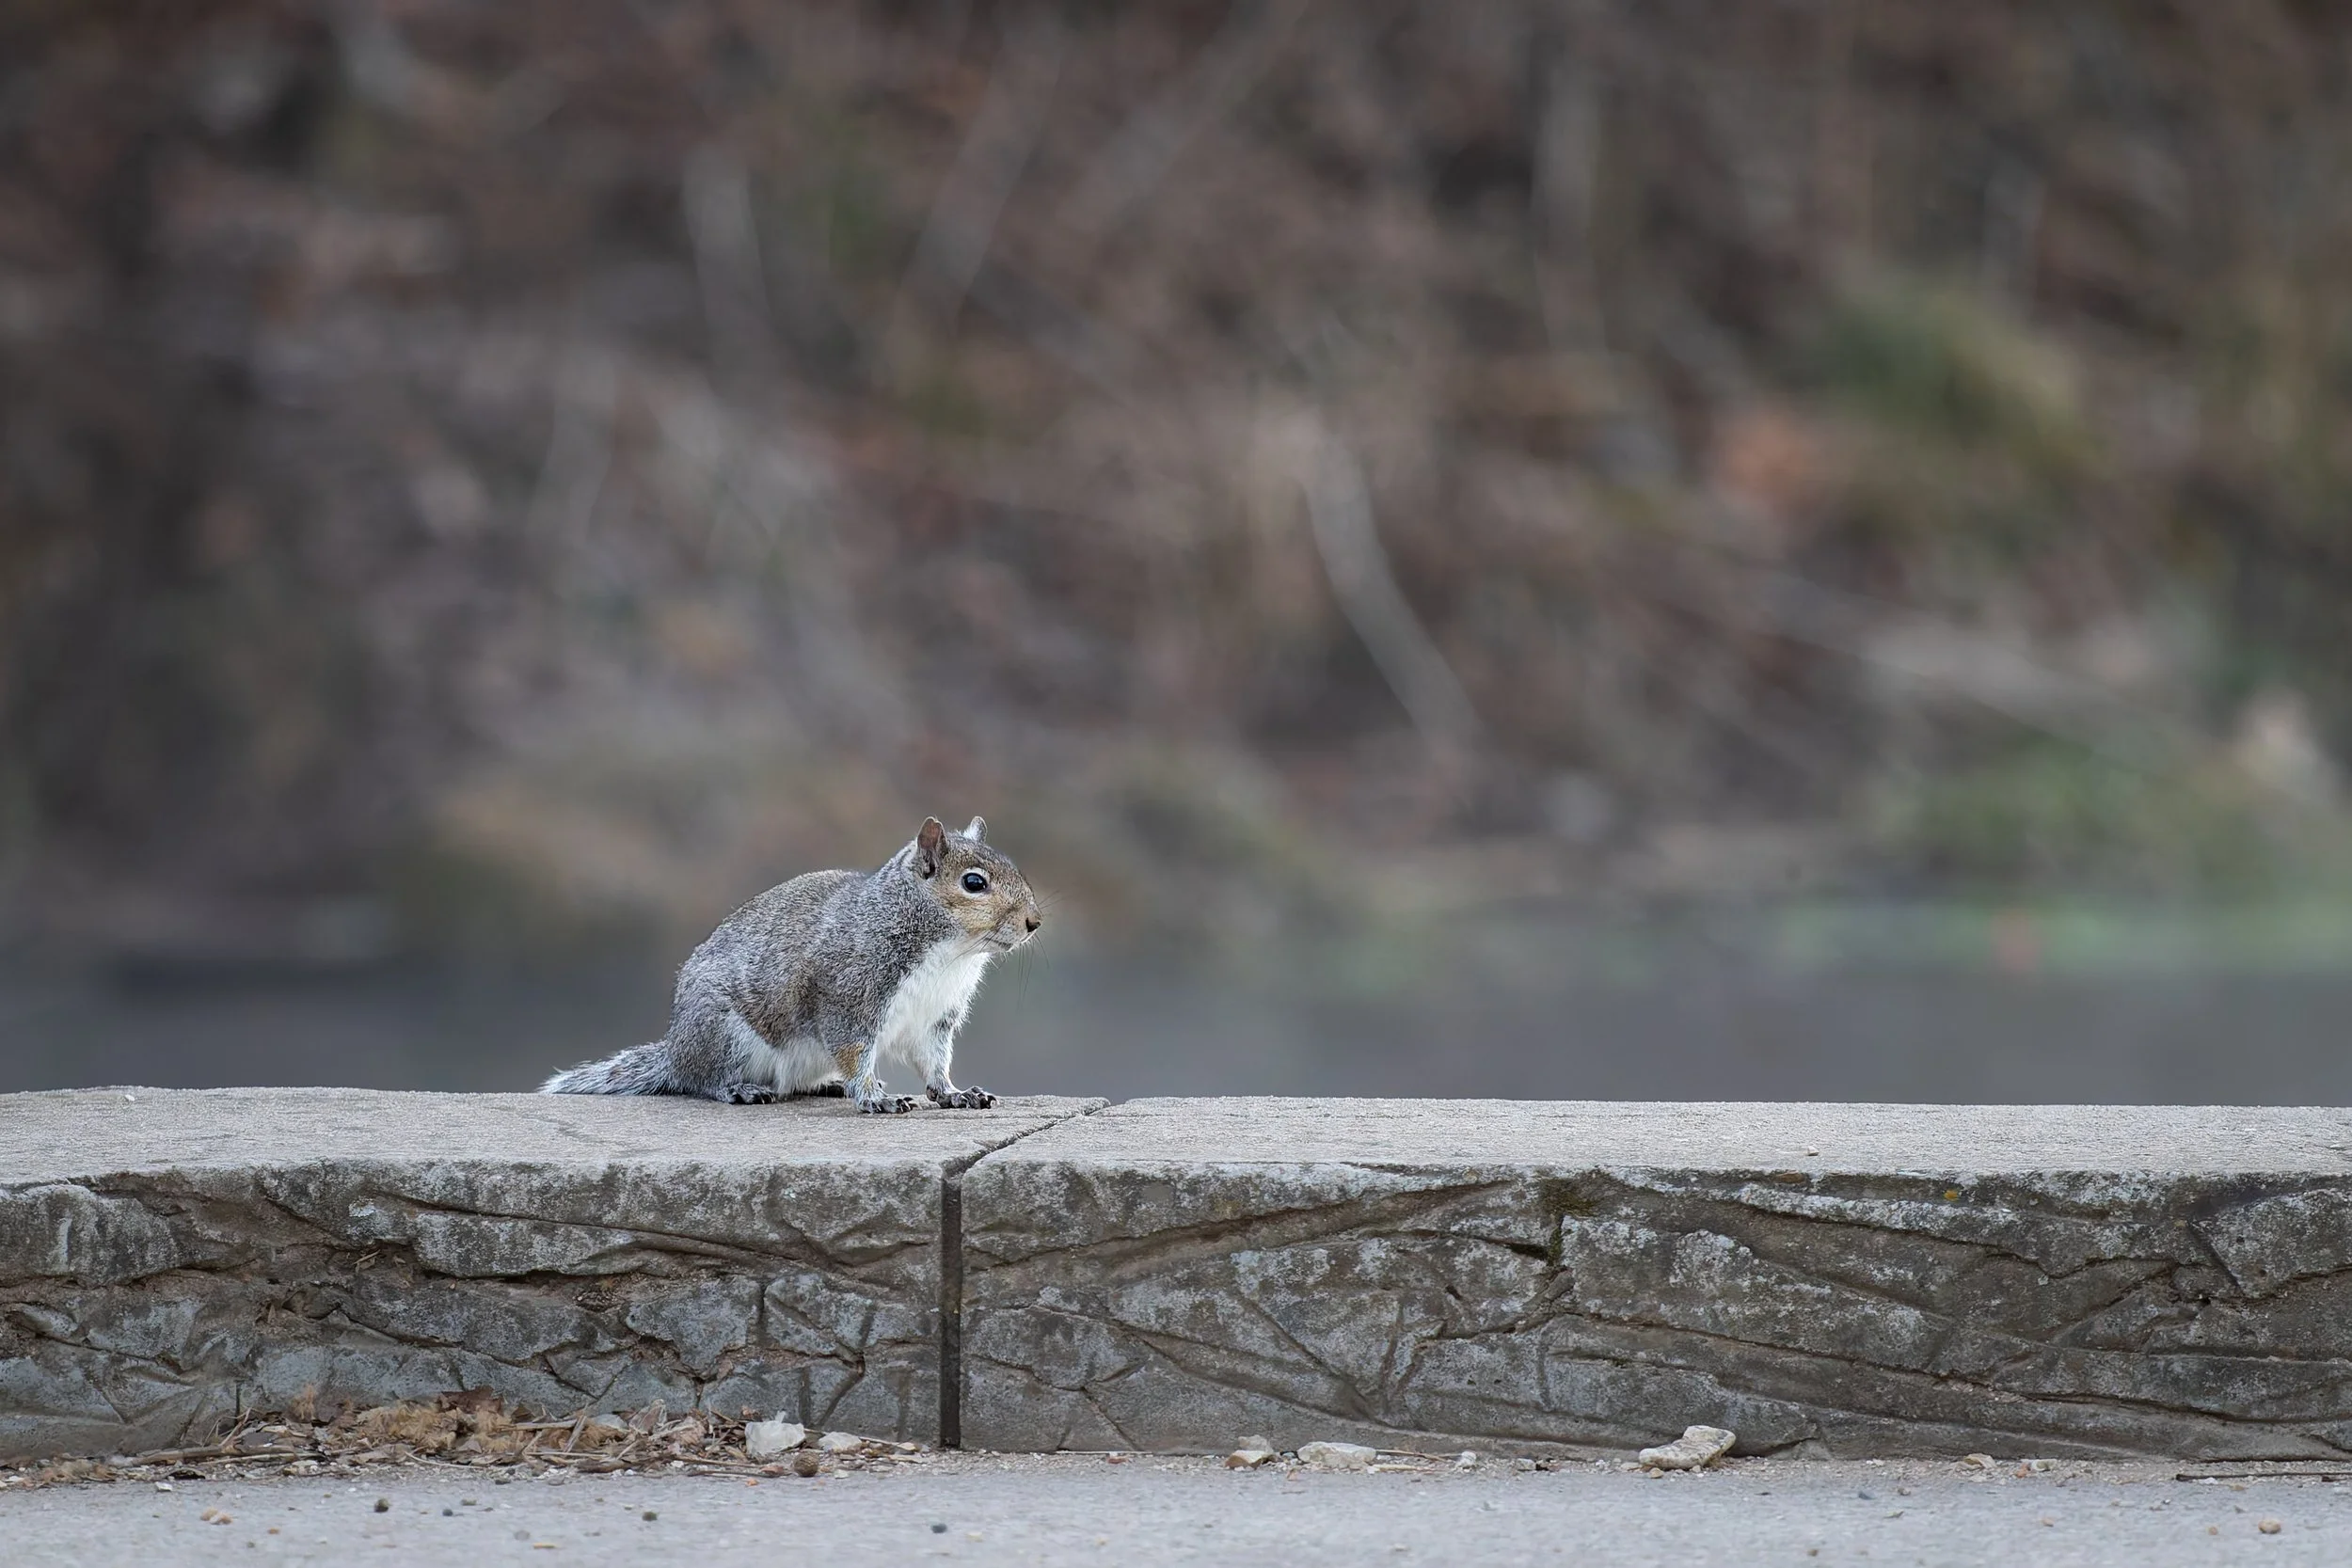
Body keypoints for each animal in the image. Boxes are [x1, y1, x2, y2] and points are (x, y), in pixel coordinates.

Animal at [541, 816, 1040, 1113]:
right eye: (973, 883)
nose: (1034, 922)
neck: (949, 955)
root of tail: (676, 1049)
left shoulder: (935, 1018)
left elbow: (934, 1062)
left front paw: (955, 1093)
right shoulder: (848, 996)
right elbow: (854, 1051)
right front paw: (871, 1097)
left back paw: (826, 1085)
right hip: (724, 1036)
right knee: (701, 1079)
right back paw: (739, 1088)